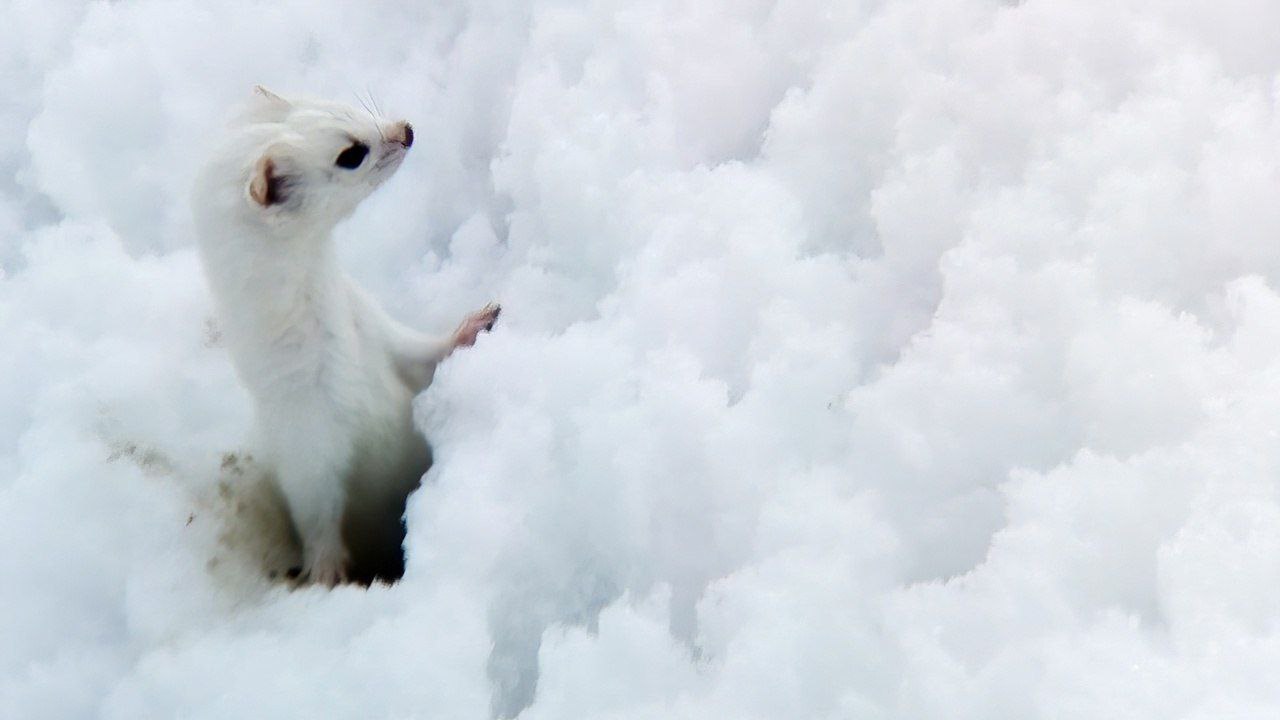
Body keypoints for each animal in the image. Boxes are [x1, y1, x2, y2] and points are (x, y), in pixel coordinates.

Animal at [189, 88, 499, 584]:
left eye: (339, 103)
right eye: (351, 153)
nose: (406, 129)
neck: (346, 353)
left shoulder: (383, 338)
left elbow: (427, 353)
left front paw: (477, 322)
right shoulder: (305, 438)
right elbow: (316, 512)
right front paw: (325, 570)